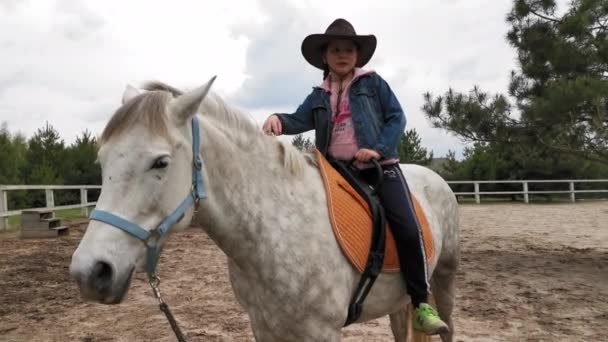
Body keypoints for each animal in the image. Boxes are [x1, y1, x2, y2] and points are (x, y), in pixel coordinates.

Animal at [69, 78, 458, 342]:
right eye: (102, 161)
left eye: (160, 162)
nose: (90, 272)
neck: (278, 229)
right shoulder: (265, 325)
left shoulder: (322, 331)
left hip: (443, 279)